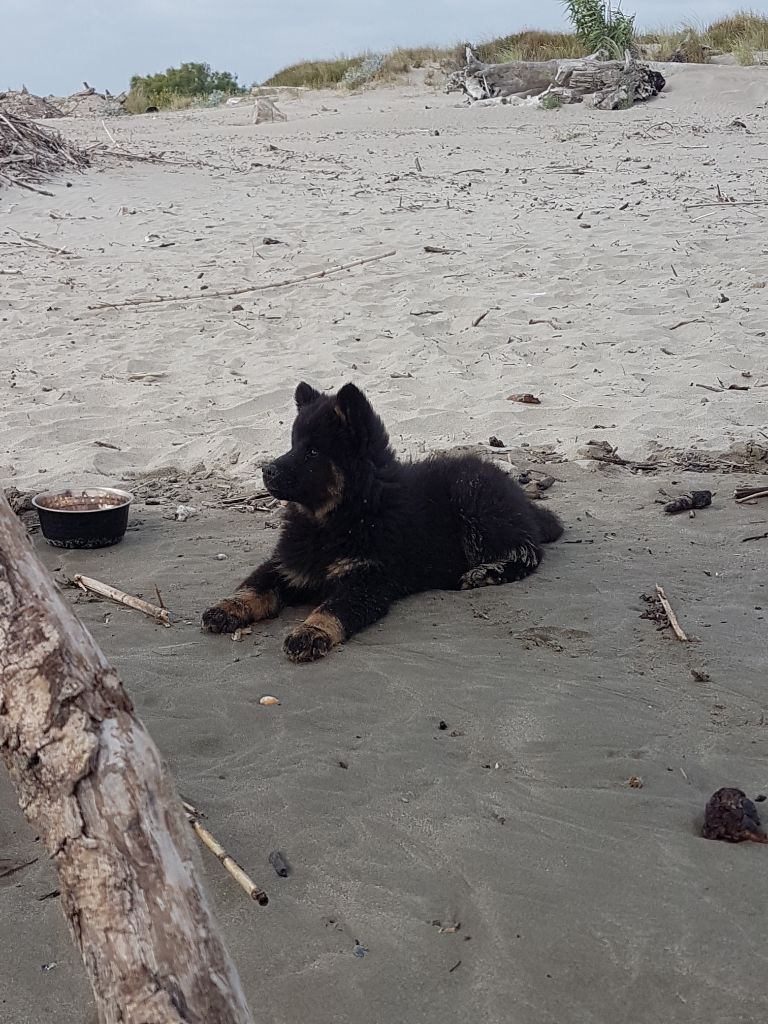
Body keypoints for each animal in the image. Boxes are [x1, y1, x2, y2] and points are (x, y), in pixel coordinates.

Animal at [204, 385, 565, 663]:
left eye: (313, 452)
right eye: (293, 445)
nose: (267, 471)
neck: (336, 520)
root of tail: (520, 498)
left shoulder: (368, 578)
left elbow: (332, 607)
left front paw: (309, 632)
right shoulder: (286, 564)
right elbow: (254, 585)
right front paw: (227, 607)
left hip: (473, 500)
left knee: (527, 551)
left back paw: (484, 573)